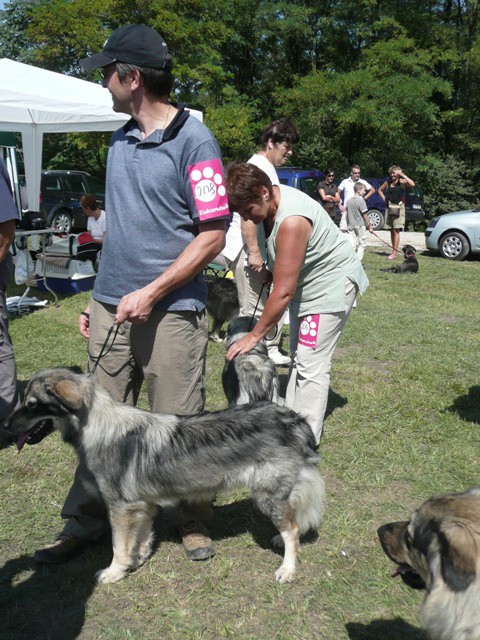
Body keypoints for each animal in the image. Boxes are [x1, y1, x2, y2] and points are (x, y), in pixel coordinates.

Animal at [1, 370, 324, 584]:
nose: (4, 425)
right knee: (291, 524)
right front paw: (138, 559)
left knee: (293, 529)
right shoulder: (143, 504)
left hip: (266, 495)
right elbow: (140, 537)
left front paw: (115, 572)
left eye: (32, 404)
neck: (97, 426)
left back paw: (287, 569)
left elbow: (117, 545)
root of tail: (292, 418)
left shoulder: (120, 507)